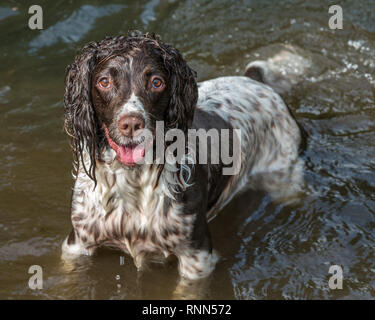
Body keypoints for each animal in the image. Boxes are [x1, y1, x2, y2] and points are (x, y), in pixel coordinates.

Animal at [61, 32, 302, 282]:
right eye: (104, 82)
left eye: (157, 82)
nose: (131, 124)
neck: (132, 182)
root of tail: (255, 80)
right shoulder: (77, 243)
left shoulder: (197, 256)